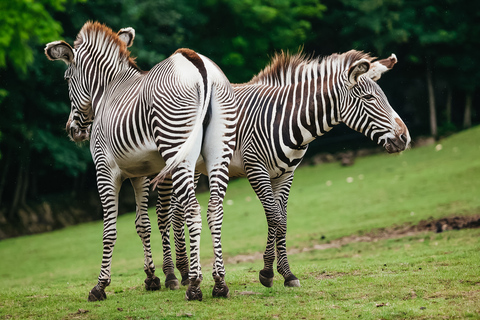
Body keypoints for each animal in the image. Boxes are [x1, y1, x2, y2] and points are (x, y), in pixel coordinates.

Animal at [46, 21, 237, 302]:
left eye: (66, 79)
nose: (73, 130)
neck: (107, 91)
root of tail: (196, 62)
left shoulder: (105, 169)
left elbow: (109, 230)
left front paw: (100, 286)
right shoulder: (140, 173)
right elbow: (142, 224)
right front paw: (152, 278)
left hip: (176, 145)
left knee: (192, 209)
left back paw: (194, 285)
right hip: (217, 152)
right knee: (214, 209)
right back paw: (219, 283)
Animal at [157, 50, 408, 290]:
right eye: (369, 98)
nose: (405, 138)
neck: (286, 118)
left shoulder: (286, 174)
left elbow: (282, 220)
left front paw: (286, 274)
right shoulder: (255, 168)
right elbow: (274, 217)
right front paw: (268, 272)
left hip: (194, 167)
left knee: (178, 212)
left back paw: (185, 273)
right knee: (164, 213)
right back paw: (168, 276)